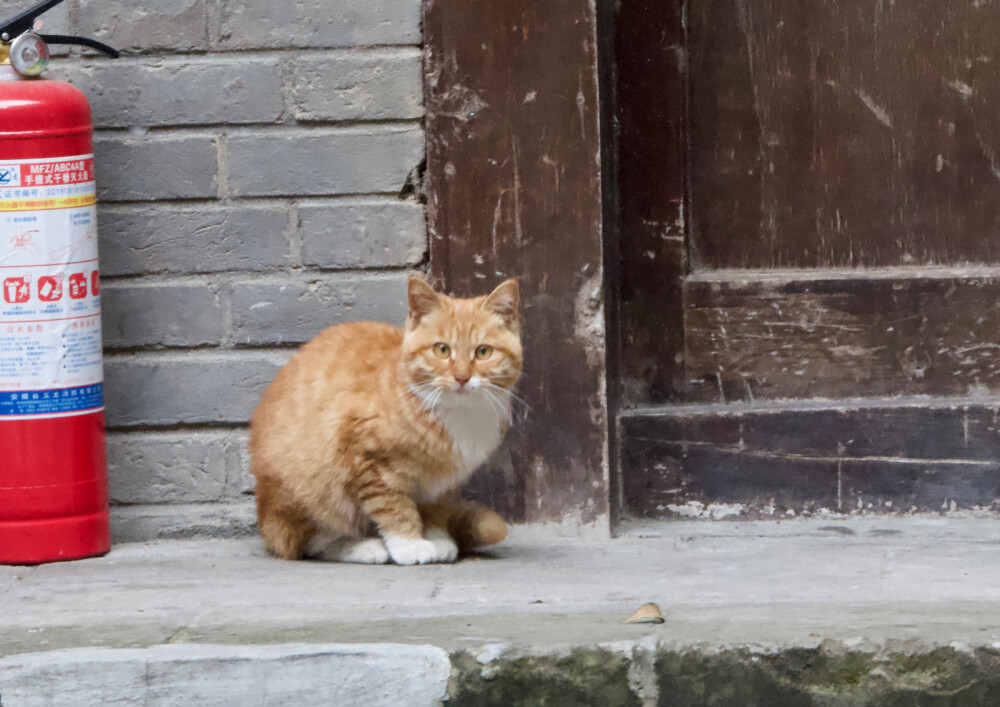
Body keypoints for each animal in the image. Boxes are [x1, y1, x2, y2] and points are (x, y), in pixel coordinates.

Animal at [248, 274, 524, 568]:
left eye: (483, 352)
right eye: (441, 349)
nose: (462, 377)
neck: (457, 414)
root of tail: (264, 518)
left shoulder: (443, 481)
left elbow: (437, 509)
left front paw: (438, 538)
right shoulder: (369, 462)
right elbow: (394, 507)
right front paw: (410, 545)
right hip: (309, 485)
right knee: (307, 541)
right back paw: (363, 547)